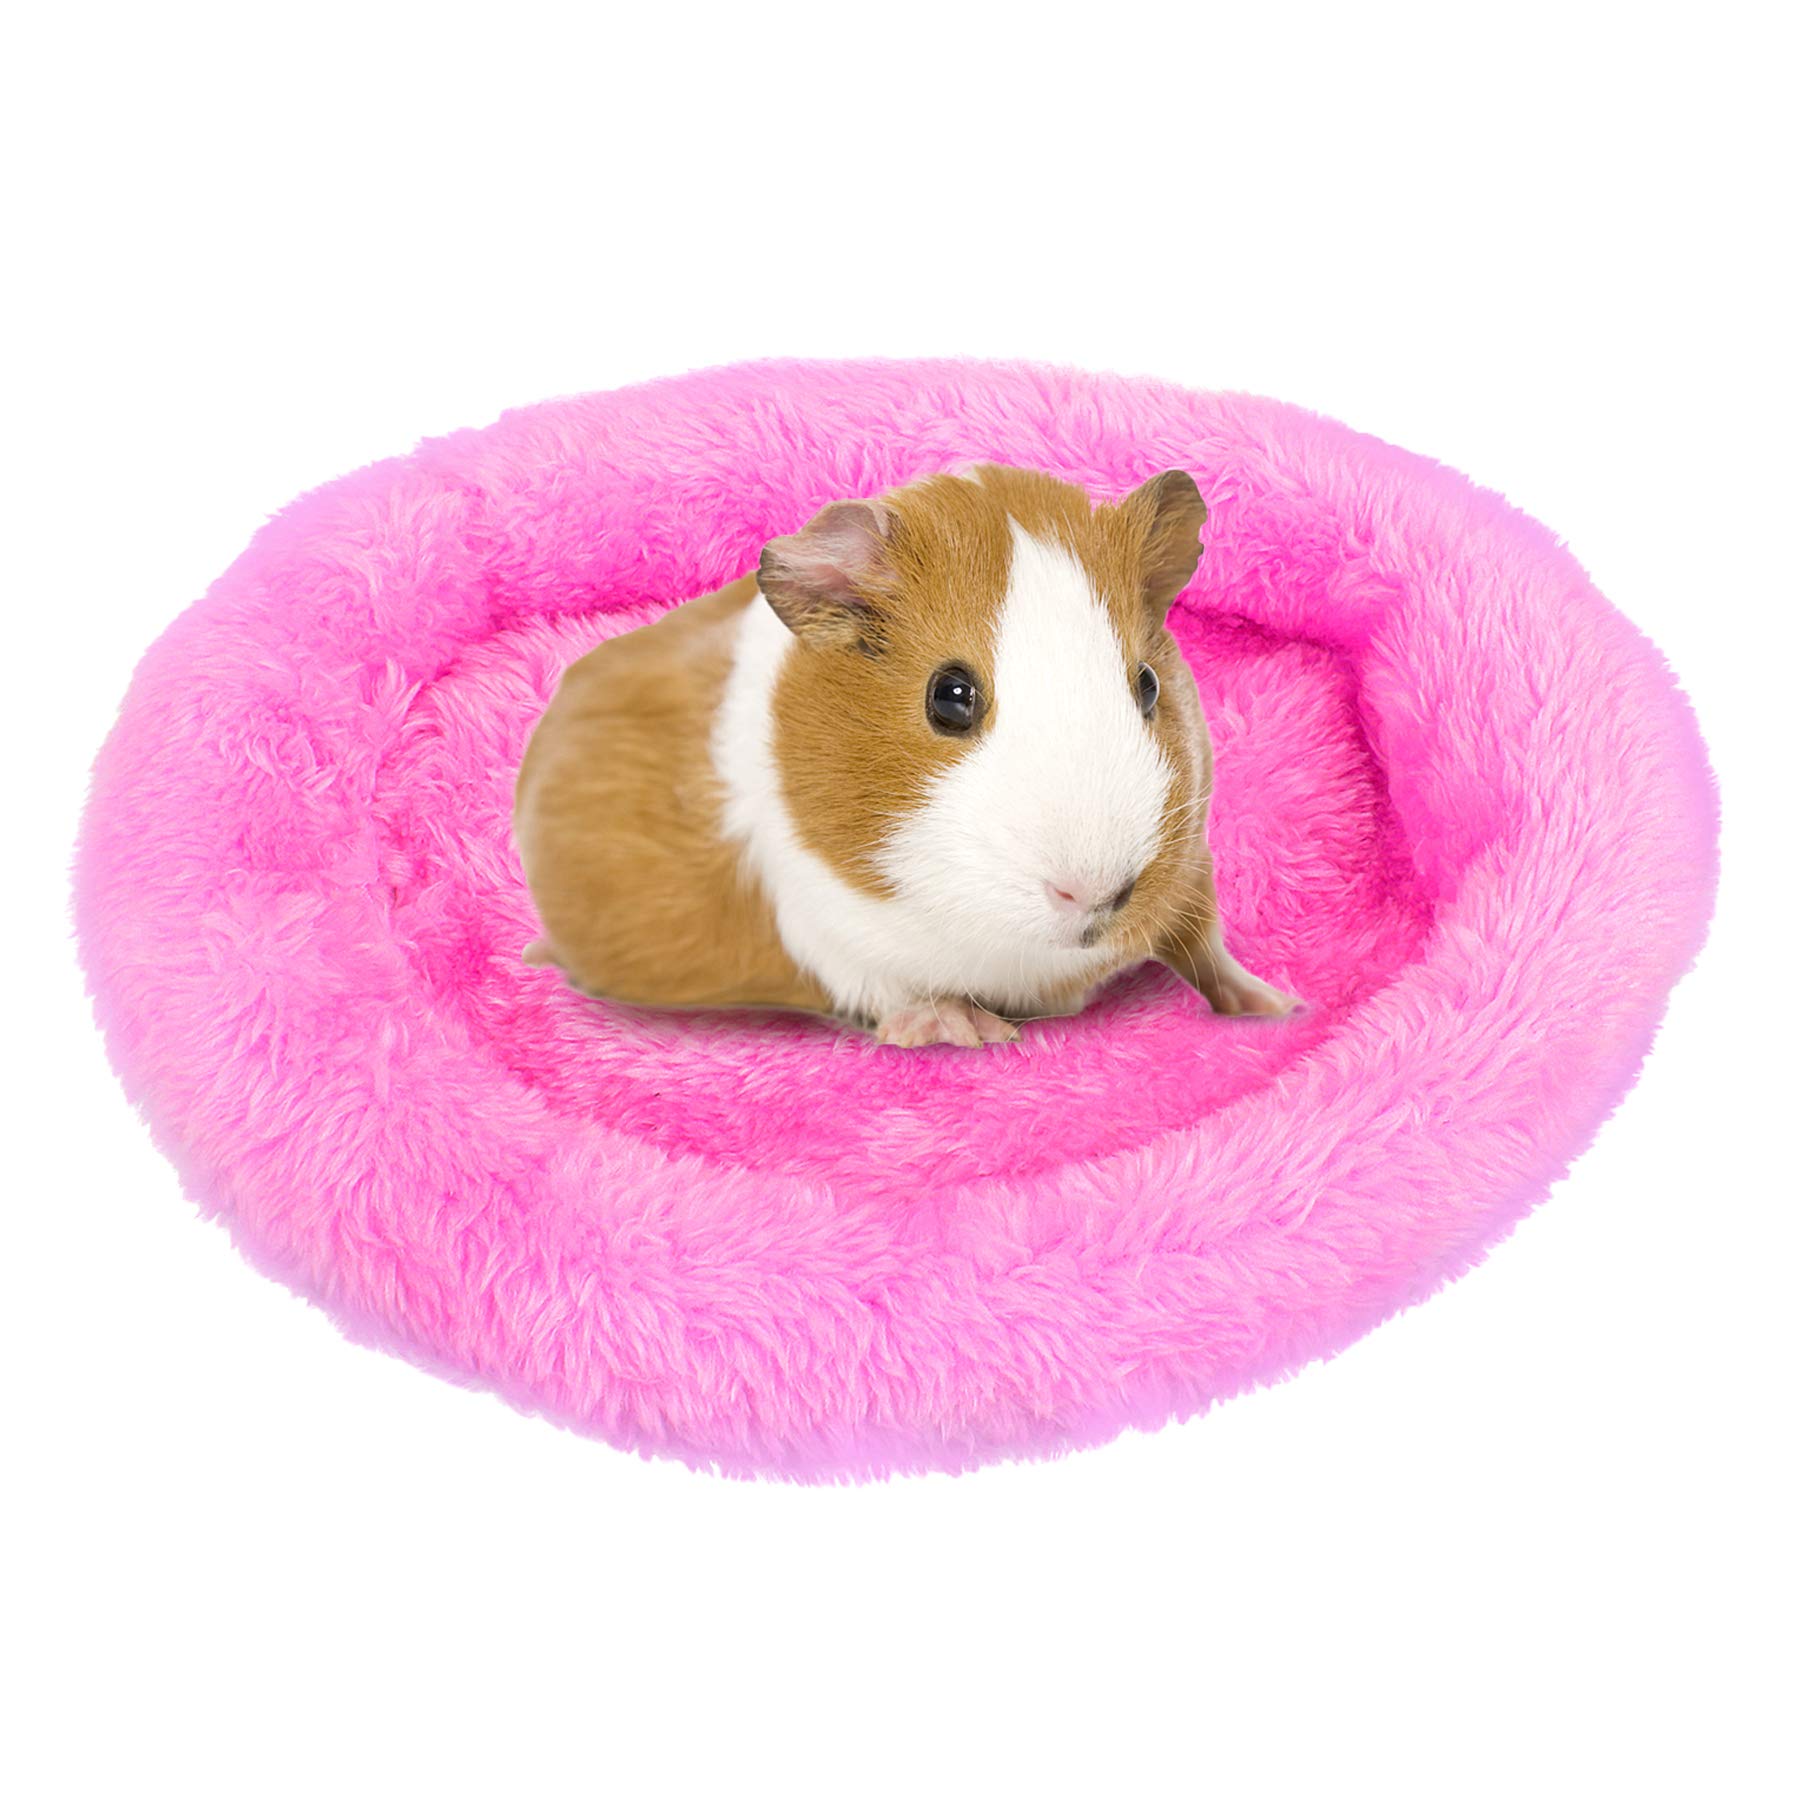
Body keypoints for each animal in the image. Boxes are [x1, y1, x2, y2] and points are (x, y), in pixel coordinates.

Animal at [513, 464, 1296, 1047]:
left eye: (1148, 683)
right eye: (949, 697)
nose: (1096, 894)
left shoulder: (1194, 867)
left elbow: (1209, 948)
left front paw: (1277, 1005)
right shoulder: (826, 929)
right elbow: (896, 994)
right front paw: (969, 1029)